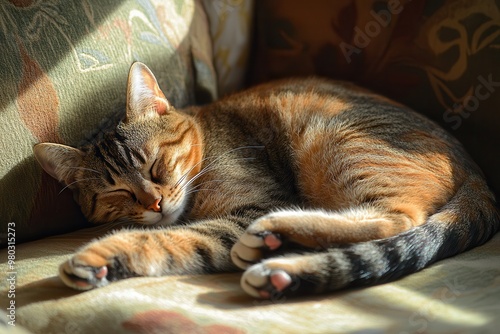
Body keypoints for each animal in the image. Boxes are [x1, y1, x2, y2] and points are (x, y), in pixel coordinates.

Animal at [33, 62, 498, 298]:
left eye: (155, 165)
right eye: (117, 192)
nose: (155, 204)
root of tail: (477, 174)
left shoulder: (251, 206)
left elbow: (167, 237)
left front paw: (99, 254)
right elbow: (176, 243)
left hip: (334, 138)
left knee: (397, 219)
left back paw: (275, 234)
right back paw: (281, 262)